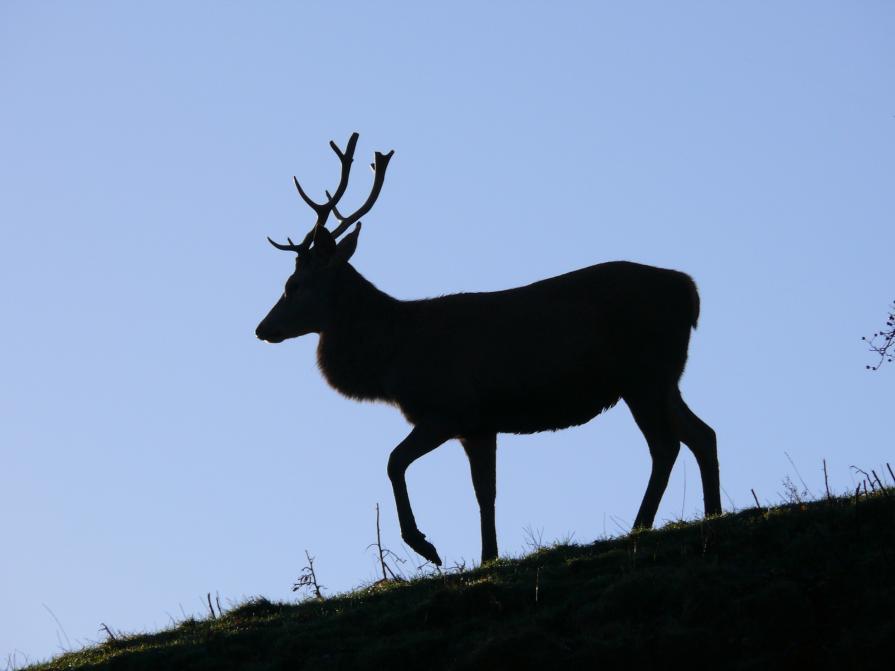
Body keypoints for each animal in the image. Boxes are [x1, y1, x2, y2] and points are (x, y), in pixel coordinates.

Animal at [255, 133, 721, 566]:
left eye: (293, 285)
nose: (262, 328)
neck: (393, 358)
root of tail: (689, 290)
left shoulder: (451, 407)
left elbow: (394, 461)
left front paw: (426, 545)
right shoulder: (480, 424)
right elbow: (485, 493)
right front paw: (488, 558)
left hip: (643, 373)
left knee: (666, 445)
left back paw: (642, 526)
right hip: (663, 377)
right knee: (702, 433)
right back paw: (712, 515)